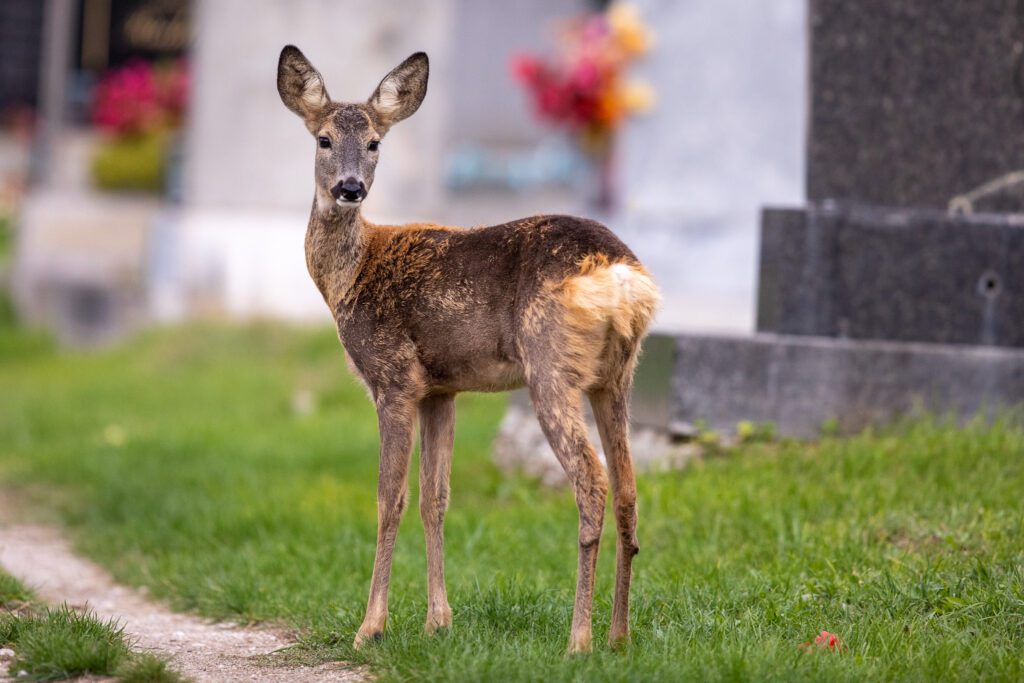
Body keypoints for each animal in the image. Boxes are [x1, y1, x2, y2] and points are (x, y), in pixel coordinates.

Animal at [278, 45, 663, 655]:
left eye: (375, 142)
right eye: (323, 139)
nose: (350, 188)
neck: (350, 274)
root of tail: (622, 275)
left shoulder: (393, 378)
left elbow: (390, 500)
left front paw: (371, 627)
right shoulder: (441, 388)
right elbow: (435, 498)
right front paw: (439, 621)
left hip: (550, 366)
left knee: (591, 481)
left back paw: (578, 638)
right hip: (616, 376)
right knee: (627, 486)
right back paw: (618, 636)